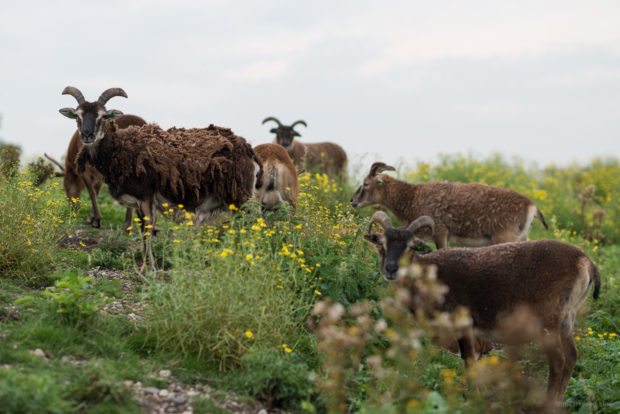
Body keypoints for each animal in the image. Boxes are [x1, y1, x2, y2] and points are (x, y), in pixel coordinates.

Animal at [58, 87, 148, 230]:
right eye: (77, 115)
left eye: (104, 116)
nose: (87, 134)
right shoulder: (98, 174)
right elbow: (96, 190)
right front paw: (92, 218)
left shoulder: (85, 171)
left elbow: (91, 192)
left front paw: (96, 220)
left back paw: (127, 225)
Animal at [352, 163, 548, 249]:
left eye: (366, 184)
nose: (353, 201)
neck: (411, 198)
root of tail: (532, 208)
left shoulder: (440, 232)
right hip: (522, 238)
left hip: (505, 238)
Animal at [364, 212, 600, 410]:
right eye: (381, 244)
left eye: (412, 246)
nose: (391, 269)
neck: (428, 276)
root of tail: (587, 263)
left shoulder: (462, 322)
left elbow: (469, 361)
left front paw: (474, 399)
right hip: (567, 320)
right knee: (572, 356)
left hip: (548, 321)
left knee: (558, 361)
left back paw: (548, 405)